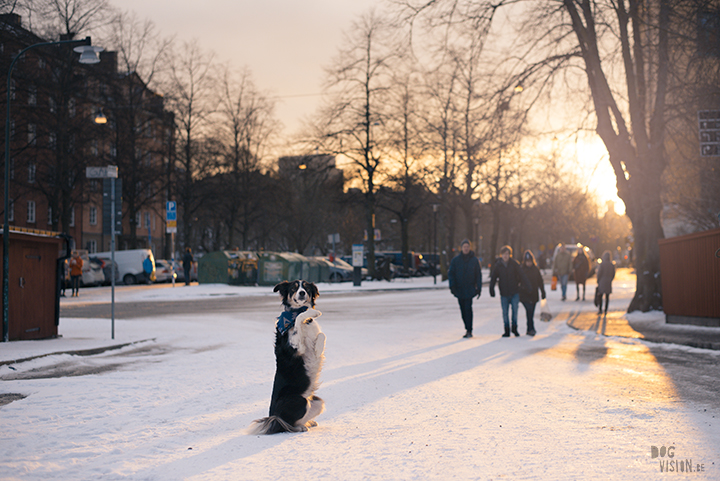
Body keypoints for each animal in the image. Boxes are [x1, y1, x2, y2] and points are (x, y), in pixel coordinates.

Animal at [248, 280, 326, 434]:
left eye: (306, 288)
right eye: (293, 288)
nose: (302, 293)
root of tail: (274, 417)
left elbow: (322, 335)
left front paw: (318, 349)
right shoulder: (296, 347)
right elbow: (298, 319)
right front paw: (312, 312)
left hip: (318, 402)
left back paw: (308, 423)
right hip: (301, 401)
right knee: (287, 425)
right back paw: (300, 427)